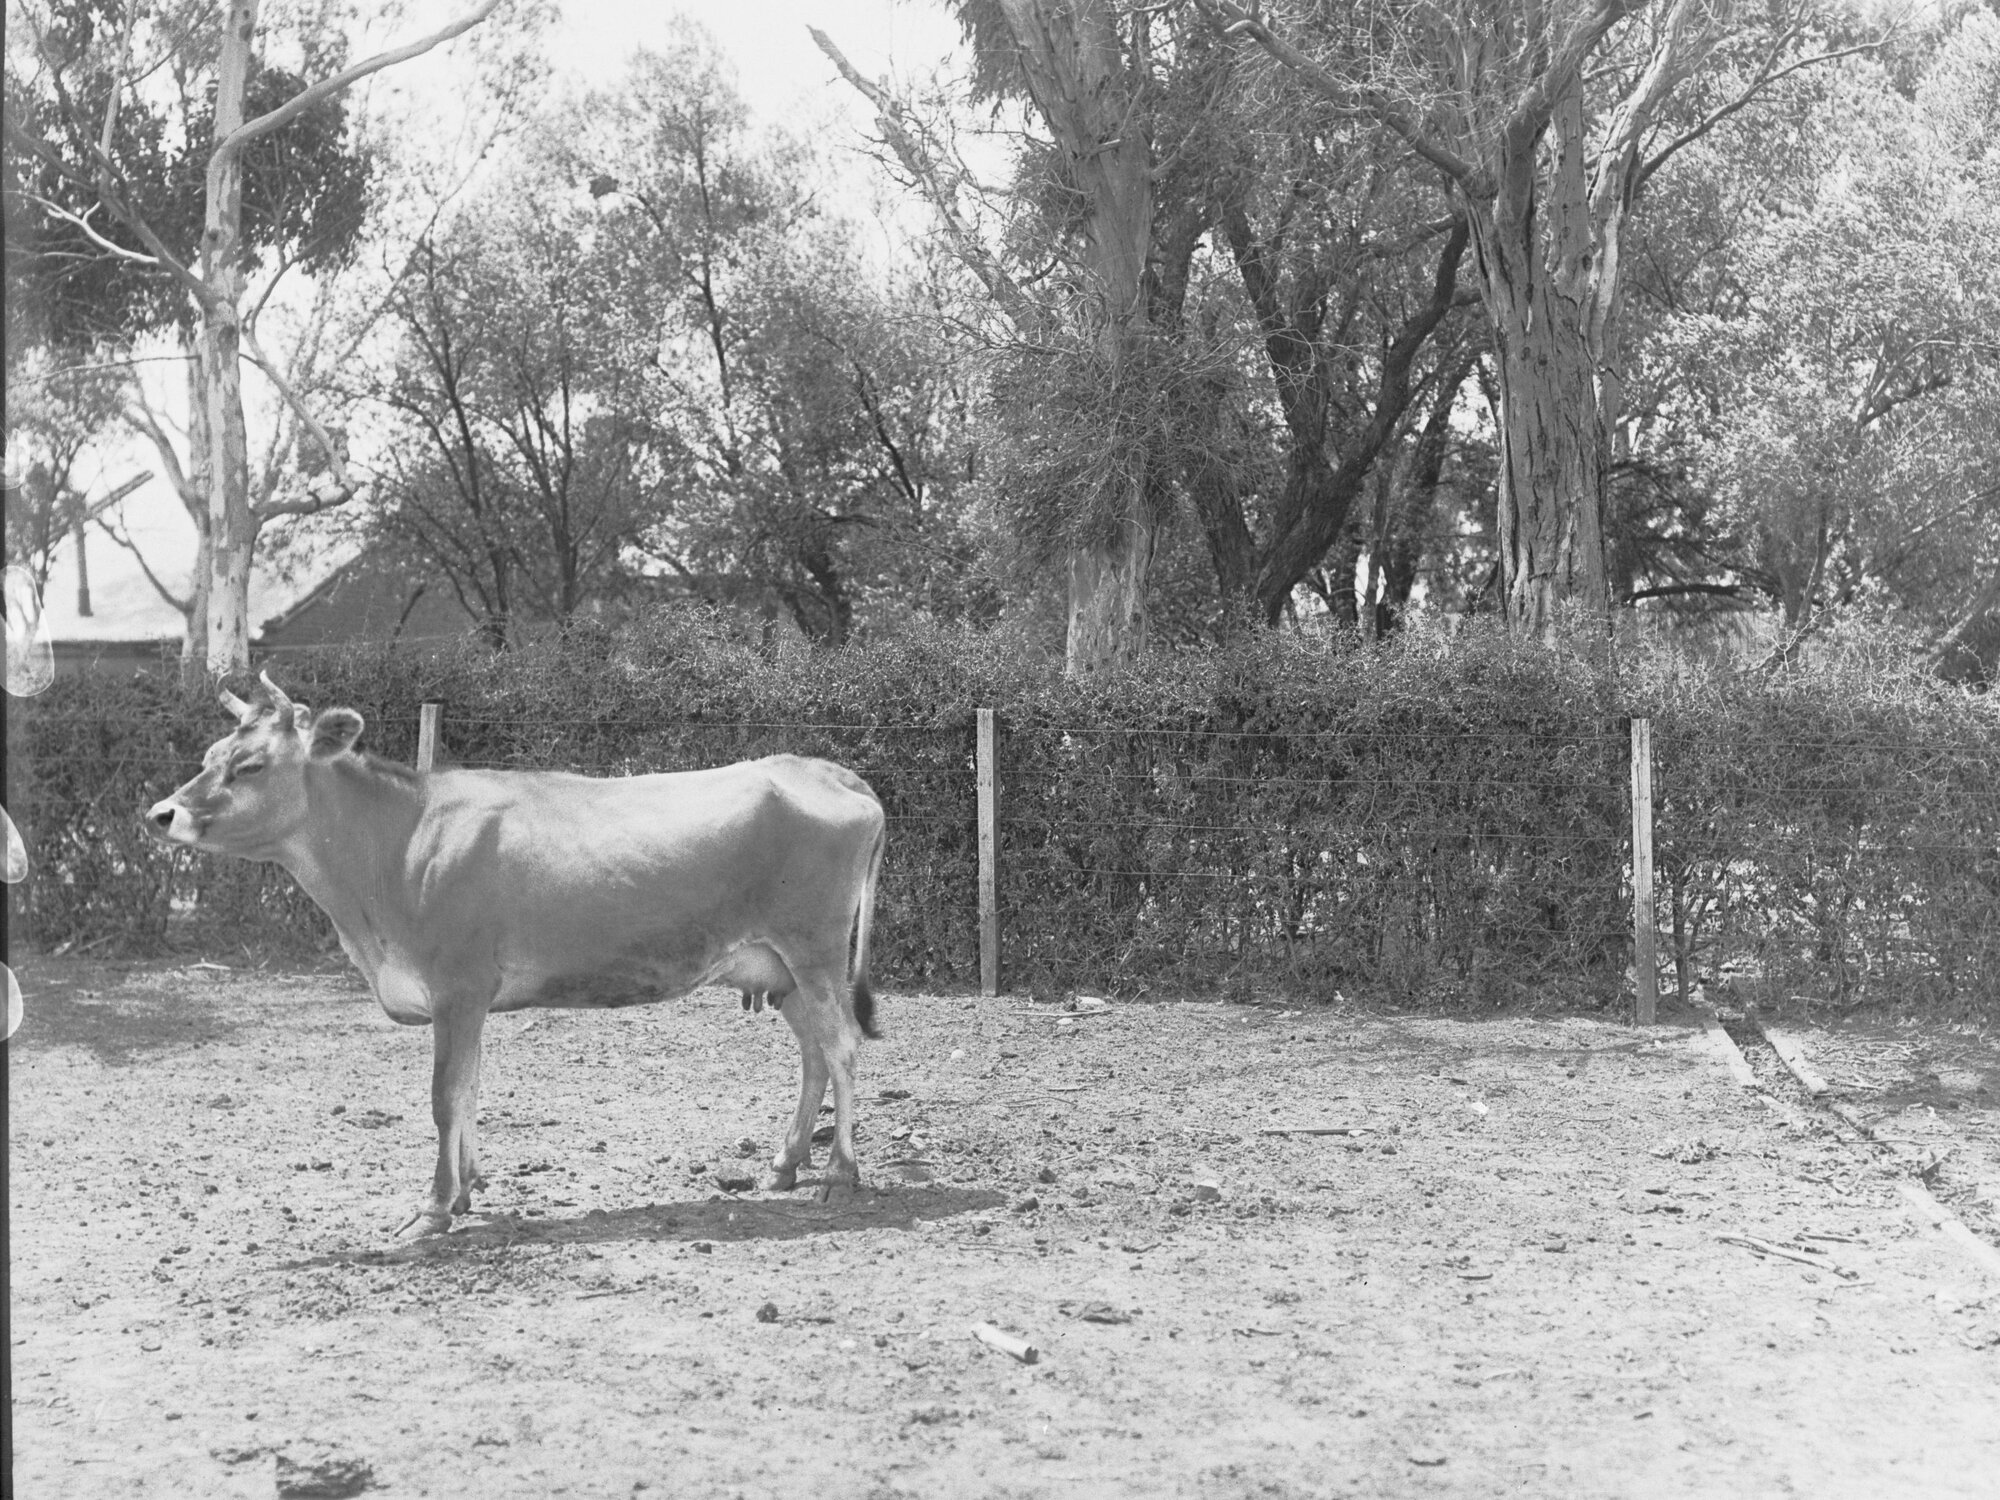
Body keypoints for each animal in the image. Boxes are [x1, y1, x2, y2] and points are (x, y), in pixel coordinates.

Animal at [145, 672, 886, 1238]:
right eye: (210, 753)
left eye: (251, 766)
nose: (161, 814)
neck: (399, 844)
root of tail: (820, 768)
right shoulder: (466, 999)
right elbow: (470, 1089)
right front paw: (467, 1190)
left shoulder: (458, 986)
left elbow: (445, 1095)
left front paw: (433, 1210)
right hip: (779, 965)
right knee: (814, 1053)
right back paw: (786, 1163)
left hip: (815, 948)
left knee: (843, 1046)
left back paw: (841, 1175)